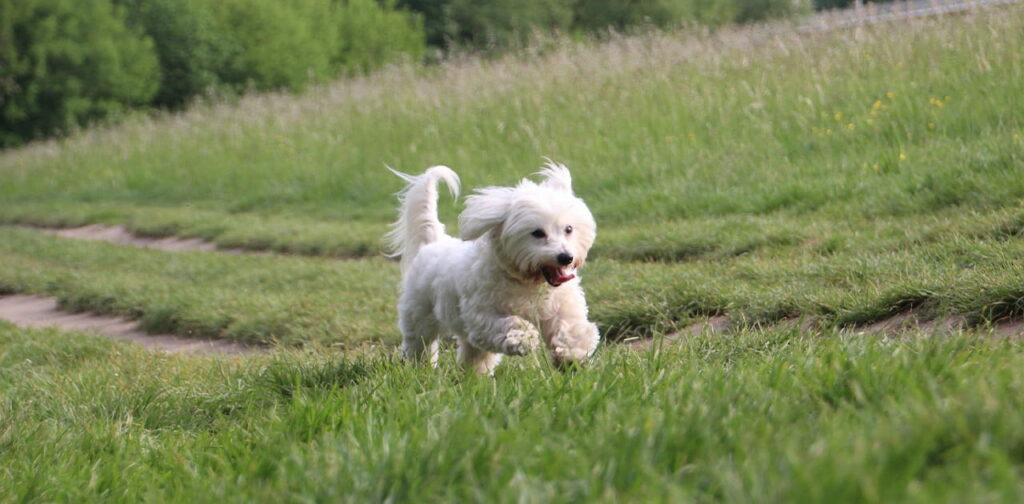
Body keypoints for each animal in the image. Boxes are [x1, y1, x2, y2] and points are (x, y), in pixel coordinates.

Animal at [385, 161, 598, 374]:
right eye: (537, 233)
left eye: (568, 229)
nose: (566, 257)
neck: (527, 281)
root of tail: (433, 241)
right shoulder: (481, 315)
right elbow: (509, 323)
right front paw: (524, 339)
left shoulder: (561, 306)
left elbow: (569, 328)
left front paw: (572, 356)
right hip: (419, 314)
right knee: (420, 343)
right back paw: (420, 368)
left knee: (473, 352)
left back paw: (473, 375)